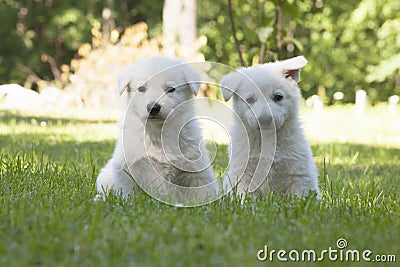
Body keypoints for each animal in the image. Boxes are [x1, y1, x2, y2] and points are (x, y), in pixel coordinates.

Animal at [97, 56, 219, 203]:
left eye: (171, 89)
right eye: (141, 88)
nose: (153, 107)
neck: (158, 131)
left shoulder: (197, 167)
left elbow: (204, 190)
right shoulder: (127, 168)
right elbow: (128, 191)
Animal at [220, 56, 320, 199]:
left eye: (278, 97)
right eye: (250, 99)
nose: (264, 120)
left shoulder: (299, 173)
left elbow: (301, 195)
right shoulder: (243, 173)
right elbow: (242, 195)